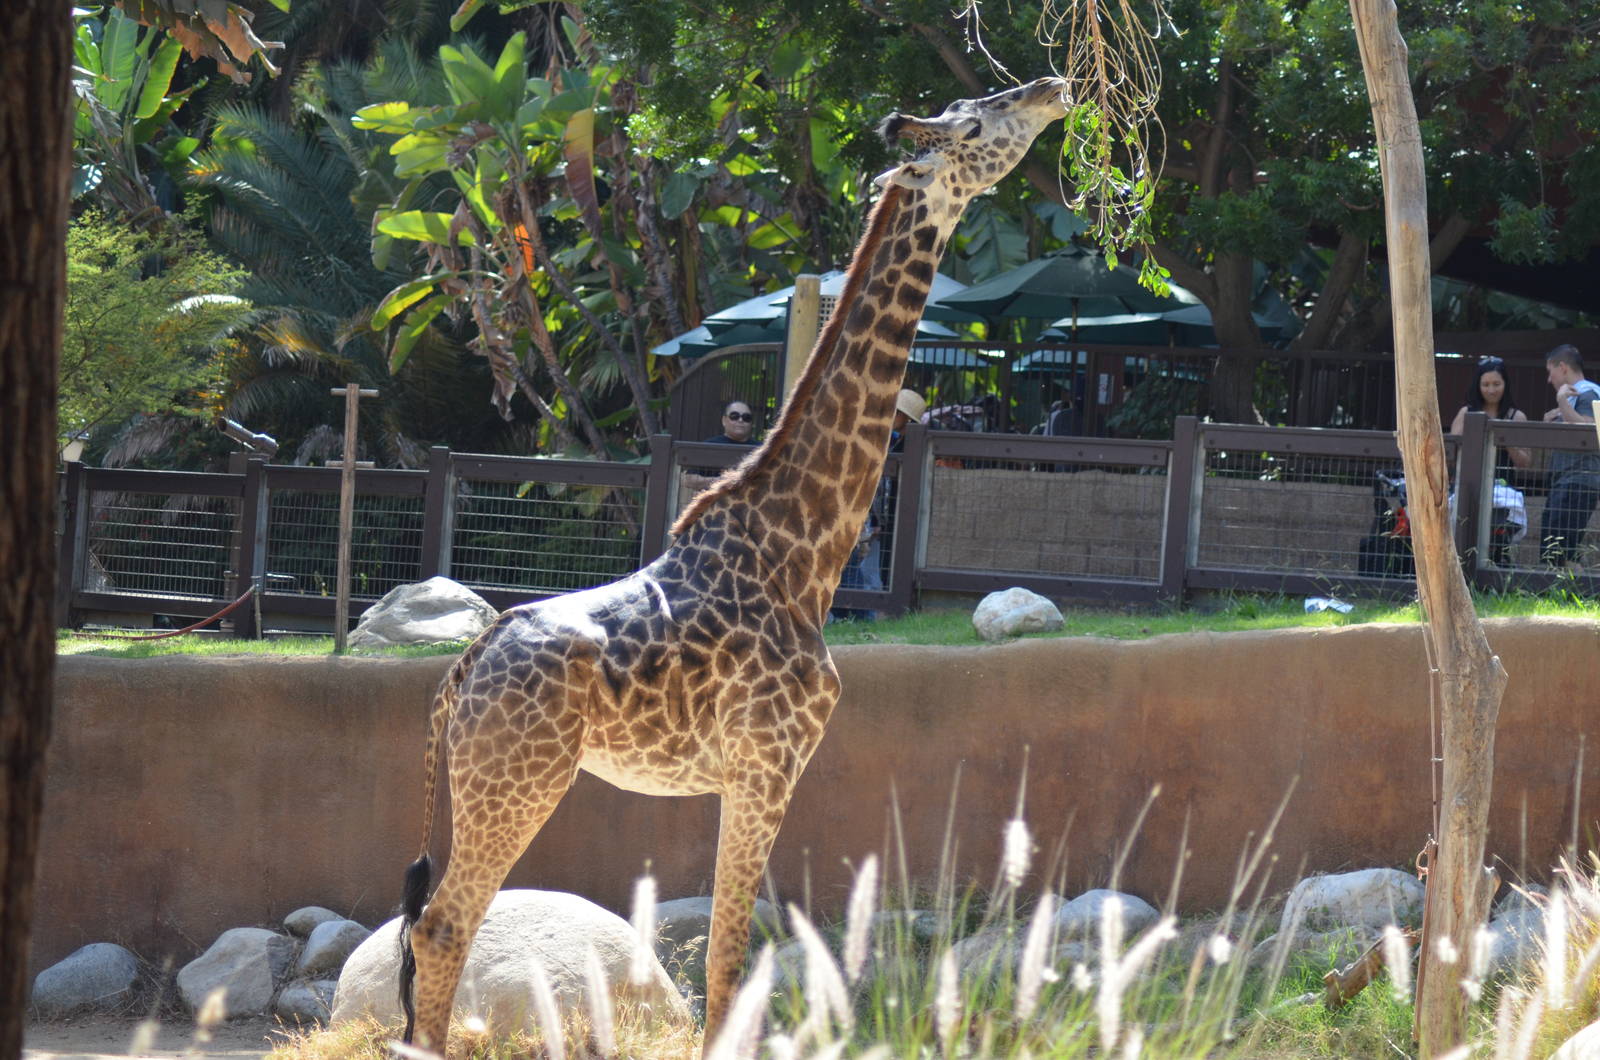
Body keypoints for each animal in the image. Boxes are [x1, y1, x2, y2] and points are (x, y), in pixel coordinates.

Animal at [397, 76, 1070, 1053]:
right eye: (979, 121)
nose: (1054, 88)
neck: (802, 553)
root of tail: (461, 671)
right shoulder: (765, 766)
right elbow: (725, 956)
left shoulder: (742, 776)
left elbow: (726, 949)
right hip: (517, 780)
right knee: (444, 924)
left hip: (492, 780)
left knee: (433, 924)